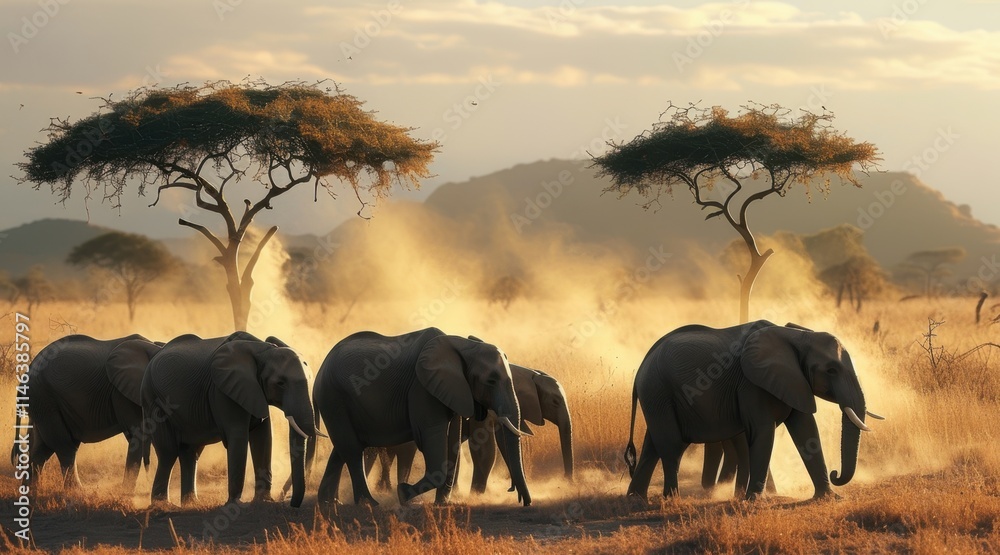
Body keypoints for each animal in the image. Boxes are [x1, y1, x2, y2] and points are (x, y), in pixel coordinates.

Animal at [14, 334, 161, 492]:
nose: (148, 476)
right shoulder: (121, 393)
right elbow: (136, 435)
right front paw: (127, 493)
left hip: (42, 404)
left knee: (44, 448)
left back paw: (31, 491)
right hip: (45, 400)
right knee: (65, 445)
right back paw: (78, 492)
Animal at [141, 332, 316, 507]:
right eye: (280, 383)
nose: (291, 502)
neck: (263, 350)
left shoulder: (255, 391)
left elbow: (264, 437)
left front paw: (263, 501)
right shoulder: (223, 391)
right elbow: (238, 436)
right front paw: (235, 504)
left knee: (190, 453)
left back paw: (192, 504)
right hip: (154, 401)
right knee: (168, 453)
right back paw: (163, 505)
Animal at [311, 327, 532, 506]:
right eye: (491, 381)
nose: (523, 500)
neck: (463, 347)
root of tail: (320, 369)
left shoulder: (453, 389)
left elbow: (452, 440)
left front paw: (441, 503)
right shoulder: (421, 389)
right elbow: (431, 437)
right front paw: (403, 493)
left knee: (342, 449)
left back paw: (329, 502)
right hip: (333, 397)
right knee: (352, 449)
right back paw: (368, 503)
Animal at [360, 362, 574, 494]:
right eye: (555, 402)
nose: (566, 481)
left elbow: (502, 443)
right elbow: (486, 449)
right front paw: (476, 494)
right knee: (401, 452)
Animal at [624, 321, 884, 500]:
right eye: (831, 370)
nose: (835, 473)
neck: (797, 336)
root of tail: (641, 366)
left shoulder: (794, 381)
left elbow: (807, 430)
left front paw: (829, 498)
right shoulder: (751, 384)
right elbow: (763, 432)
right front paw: (755, 500)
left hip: (657, 397)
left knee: (652, 446)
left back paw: (636, 499)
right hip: (658, 390)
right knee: (671, 446)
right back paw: (671, 499)